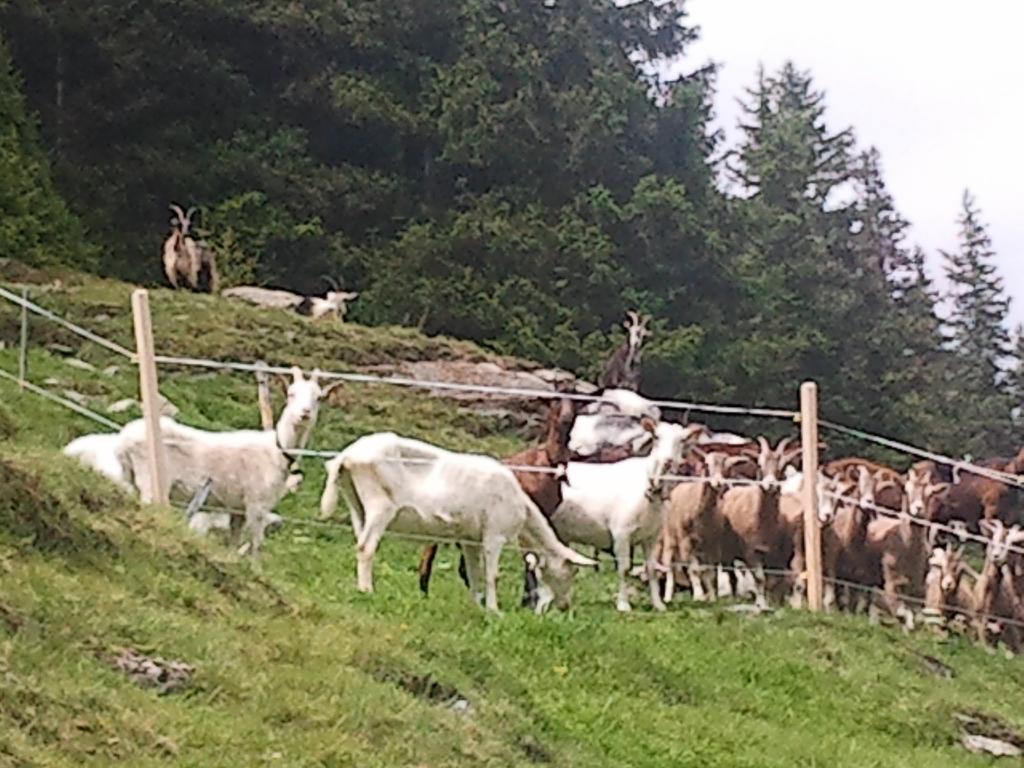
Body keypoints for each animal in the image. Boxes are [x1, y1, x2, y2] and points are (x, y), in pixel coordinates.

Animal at [119, 368, 335, 561]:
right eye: (291, 394)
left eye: (318, 398)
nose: (304, 413)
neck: (277, 450)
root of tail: (124, 439)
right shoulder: (257, 503)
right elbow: (256, 543)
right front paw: (255, 570)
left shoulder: (238, 507)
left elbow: (235, 539)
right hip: (151, 477)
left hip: (131, 477)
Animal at [317, 434, 593, 614]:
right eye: (571, 572)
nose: (565, 606)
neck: (524, 510)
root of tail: (346, 457)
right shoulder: (495, 534)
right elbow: (492, 574)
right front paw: (494, 610)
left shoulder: (470, 539)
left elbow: (473, 572)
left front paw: (476, 605)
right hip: (379, 505)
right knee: (367, 548)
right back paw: (367, 590)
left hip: (356, 504)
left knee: (359, 544)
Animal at [552, 421, 704, 614]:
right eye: (656, 437)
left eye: (682, 440)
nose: (667, 460)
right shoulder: (621, 533)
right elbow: (624, 569)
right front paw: (623, 604)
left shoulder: (652, 536)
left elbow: (651, 569)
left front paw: (658, 604)